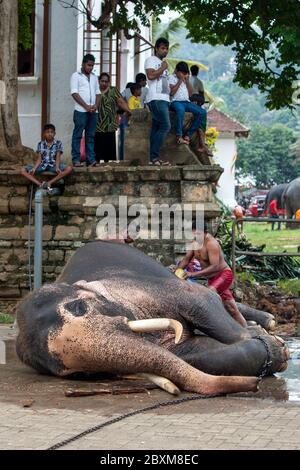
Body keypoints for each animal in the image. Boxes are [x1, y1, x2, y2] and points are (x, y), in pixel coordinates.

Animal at [15, 242, 288, 396]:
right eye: (83, 375)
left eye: (78, 307)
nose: (254, 386)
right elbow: (201, 355)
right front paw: (272, 349)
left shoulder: (142, 288)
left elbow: (200, 299)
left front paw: (269, 341)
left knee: (210, 293)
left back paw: (266, 322)